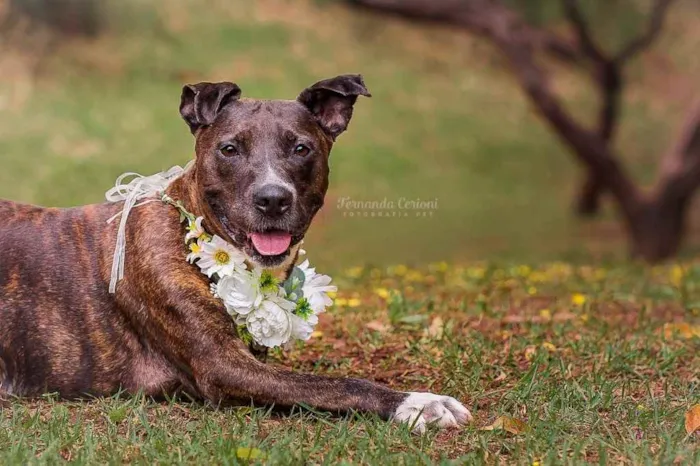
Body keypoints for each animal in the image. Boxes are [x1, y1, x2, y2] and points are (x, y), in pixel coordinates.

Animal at [0, 73, 474, 434]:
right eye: (229, 149)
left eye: (301, 148)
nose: (272, 199)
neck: (191, 227)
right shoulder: (223, 366)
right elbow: (340, 384)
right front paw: (418, 402)